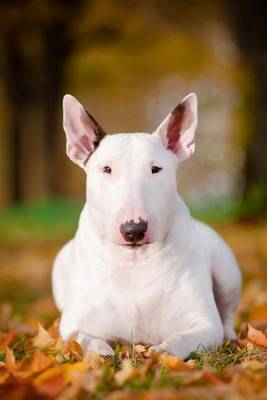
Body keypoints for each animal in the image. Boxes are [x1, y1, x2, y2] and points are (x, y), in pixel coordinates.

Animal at [52, 94, 243, 360]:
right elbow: (83, 339)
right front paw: (101, 354)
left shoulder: (203, 324)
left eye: (156, 169)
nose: (134, 229)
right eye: (107, 169)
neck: (134, 264)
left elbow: (182, 339)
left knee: (227, 317)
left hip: (227, 272)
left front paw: (162, 352)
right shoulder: (73, 324)